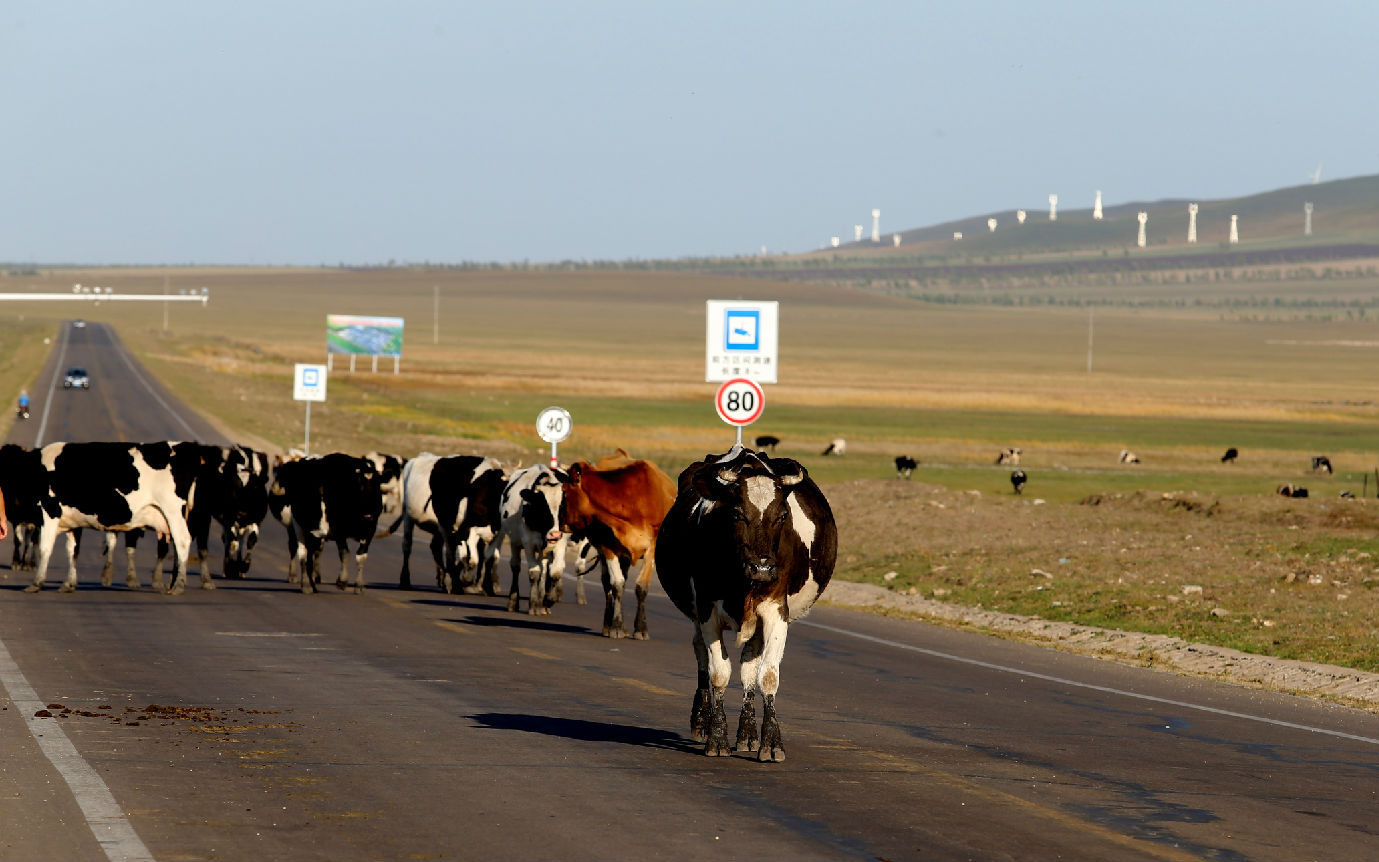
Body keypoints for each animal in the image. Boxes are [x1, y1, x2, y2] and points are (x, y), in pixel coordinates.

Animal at [267, 449, 383, 590]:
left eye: (377, 486)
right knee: (298, 549)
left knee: (312, 551)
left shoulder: (369, 531)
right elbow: (345, 554)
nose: (369, 514)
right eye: (358, 485)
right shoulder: (338, 531)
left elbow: (361, 556)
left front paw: (359, 585)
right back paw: (299, 579)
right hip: (296, 526)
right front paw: (342, 580)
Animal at [386, 455, 510, 587]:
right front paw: (466, 578)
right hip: (408, 516)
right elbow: (471, 559)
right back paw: (406, 579)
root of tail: (419, 457)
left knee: (437, 547)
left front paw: (489, 584)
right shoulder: (468, 529)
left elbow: (490, 558)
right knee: (408, 545)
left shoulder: (497, 533)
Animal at [496, 463, 570, 612]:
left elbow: (555, 571)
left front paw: (548, 600)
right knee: (516, 566)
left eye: (562, 507)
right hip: (514, 542)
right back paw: (513, 601)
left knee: (543, 567)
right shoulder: (528, 543)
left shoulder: (561, 542)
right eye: (543, 507)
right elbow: (534, 573)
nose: (555, 534)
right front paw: (534, 605)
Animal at [554, 449, 672, 639]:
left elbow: (641, 587)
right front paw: (616, 626)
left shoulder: (652, 547)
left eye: (564, 490)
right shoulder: (608, 546)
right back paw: (609, 625)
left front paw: (641, 629)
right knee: (608, 584)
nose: (560, 523)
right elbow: (616, 584)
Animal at [656, 444, 838, 761]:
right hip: (695, 615)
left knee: (748, 668)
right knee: (701, 656)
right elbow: (719, 673)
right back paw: (702, 722)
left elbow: (767, 676)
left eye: (783, 515)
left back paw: (748, 734)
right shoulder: (707, 611)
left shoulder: (776, 611)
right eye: (738, 513)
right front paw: (717, 737)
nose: (762, 568)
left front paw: (770, 742)